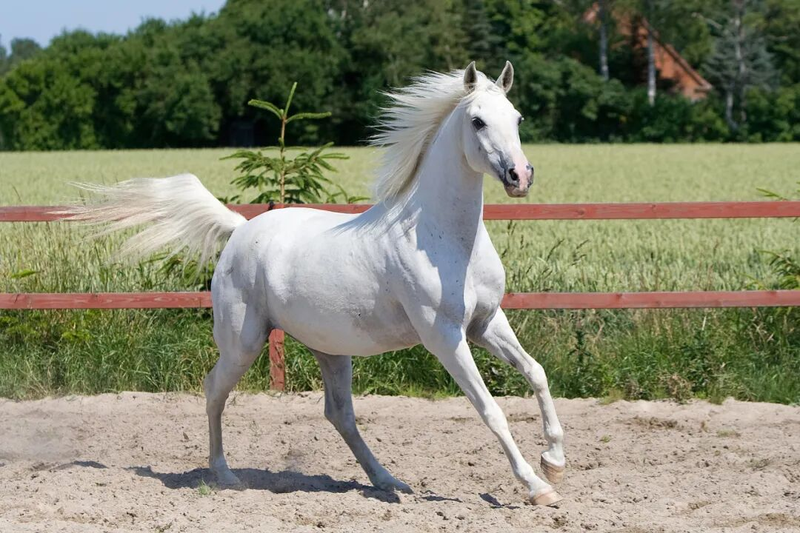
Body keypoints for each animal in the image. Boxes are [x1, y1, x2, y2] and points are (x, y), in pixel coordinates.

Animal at [71, 61, 566, 506]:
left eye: (517, 118)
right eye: (477, 120)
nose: (520, 176)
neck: (440, 236)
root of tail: (240, 229)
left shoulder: (485, 323)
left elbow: (537, 373)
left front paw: (555, 461)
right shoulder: (444, 337)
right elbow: (491, 410)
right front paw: (537, 487)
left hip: (330, 348)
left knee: (339, 414)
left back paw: (389, 482)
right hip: (243, 342)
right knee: (215, 390)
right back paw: (226, 475)